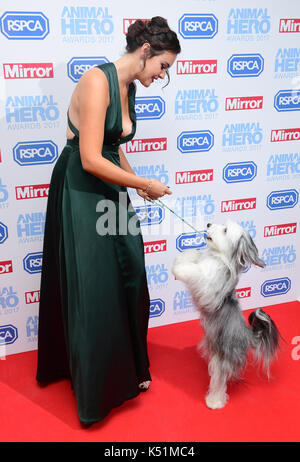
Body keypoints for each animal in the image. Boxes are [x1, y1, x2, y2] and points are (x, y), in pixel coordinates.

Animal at [172, 222, 280, 410]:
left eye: (225, 230)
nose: (208, 223)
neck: (219, 257)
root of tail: (247, 335)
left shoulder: (208, 287)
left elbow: (195, 272)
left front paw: (180, 269)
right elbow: (193, 258)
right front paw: (189, 254)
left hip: (225, 356)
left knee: (220, 379)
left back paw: (215, 401)